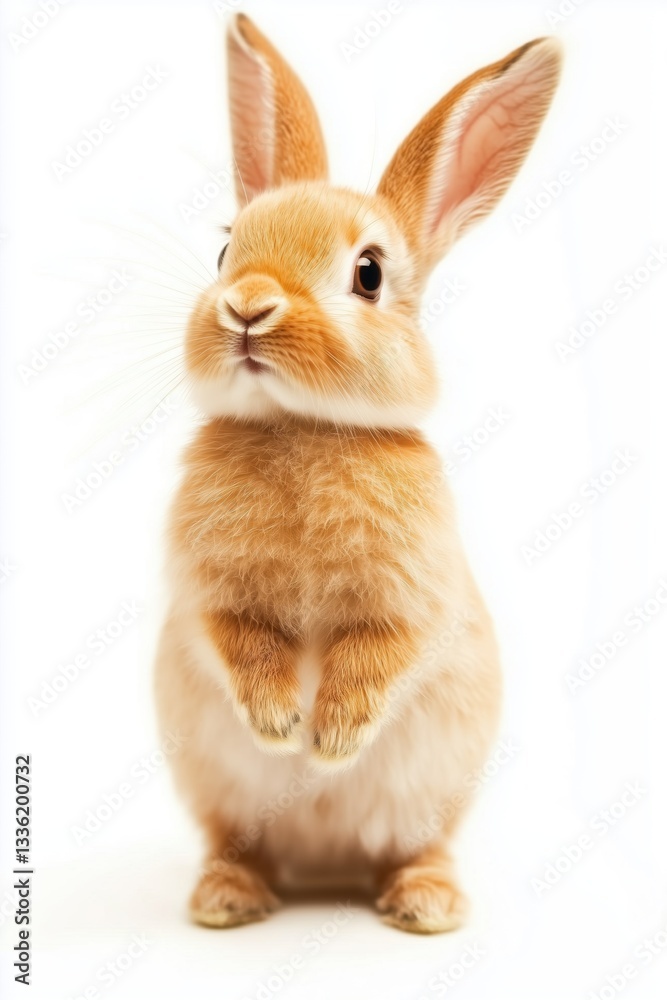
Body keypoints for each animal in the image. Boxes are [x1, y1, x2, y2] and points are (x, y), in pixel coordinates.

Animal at [154, 13, 562, 933]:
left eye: (368, 274)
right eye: (226, 250)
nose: (247, 306)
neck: (304, 428)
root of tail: (322, 862)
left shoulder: (412, 598)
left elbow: (379, 655)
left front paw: (330, 740)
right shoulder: (209, 596)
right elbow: (239, 641)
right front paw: (282, 727)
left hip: (432, 796)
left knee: (416, 847)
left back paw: (426, 906)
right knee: (238, 842)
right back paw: (226, 899)